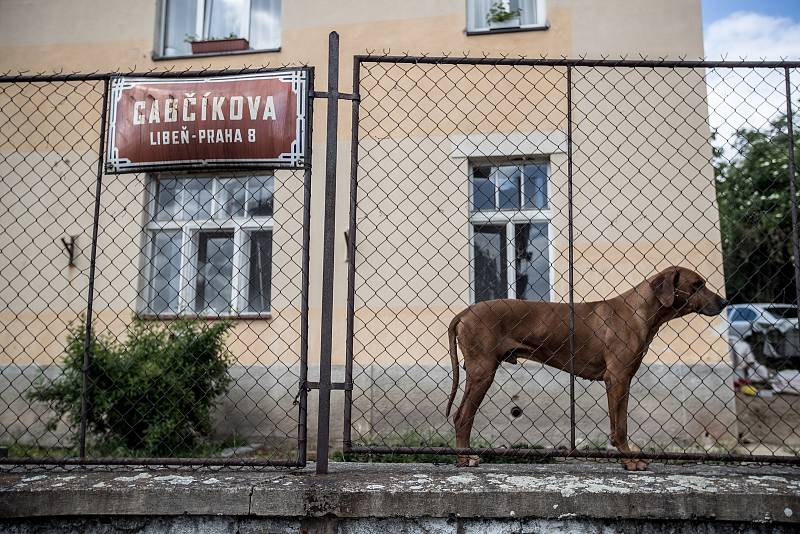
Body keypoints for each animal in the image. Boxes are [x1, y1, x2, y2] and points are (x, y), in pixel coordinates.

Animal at [446, 266, 728, 472]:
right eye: (697, 284)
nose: (725, 302)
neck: (639, 311)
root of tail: (466, 311)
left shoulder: (619, 380)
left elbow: (618, 423)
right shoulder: (618, 378)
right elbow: (621, 426)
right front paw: (629, 460)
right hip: (483, 371)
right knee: (462, 416)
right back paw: (464, 459)